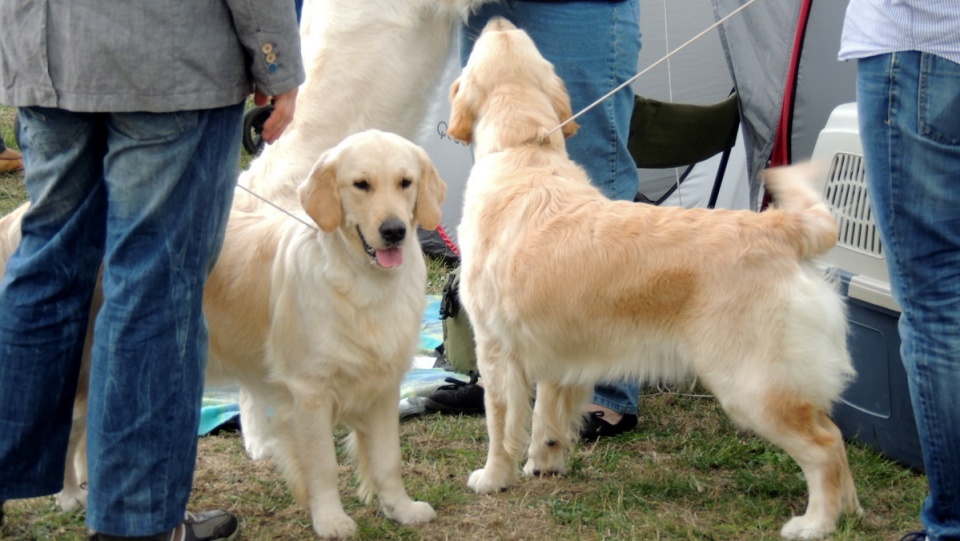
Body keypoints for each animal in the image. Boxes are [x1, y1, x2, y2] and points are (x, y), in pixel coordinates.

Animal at [450, 19, 864, 536]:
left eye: (479, 50)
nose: (498, 20)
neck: (525, 147)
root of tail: (781, 227)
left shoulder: (495, 348)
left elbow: (500, 425)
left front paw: (492, 477)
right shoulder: (559, 352)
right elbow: (548, 416)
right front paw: (545, 463)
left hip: (753, 386)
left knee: (825, 446)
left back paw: (814, 524)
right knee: (837, 440)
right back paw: (849, 511)